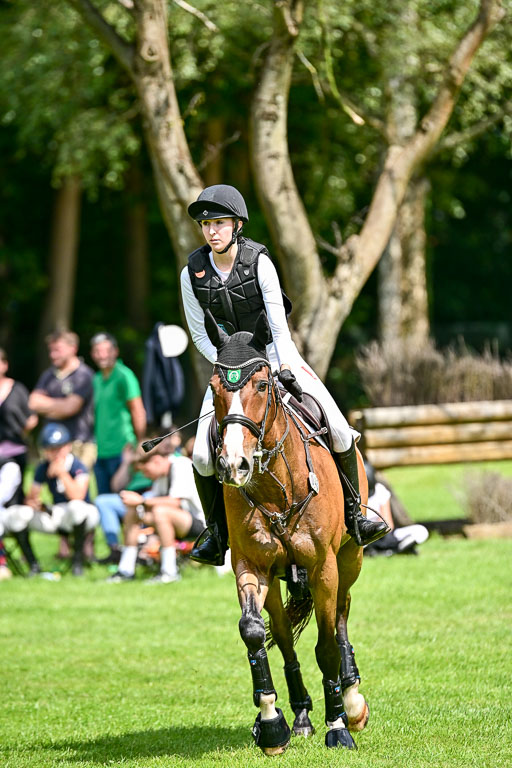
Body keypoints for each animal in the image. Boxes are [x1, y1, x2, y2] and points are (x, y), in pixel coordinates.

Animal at [204, 309, 370, 754]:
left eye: (262, 385)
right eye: (214, 388)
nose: (235, 464)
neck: (275, 487)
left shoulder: (323, 567)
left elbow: (326, 646)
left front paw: (338, 726)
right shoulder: (251, 566)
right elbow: (252, 632)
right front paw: (271, 721)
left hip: (349, 559)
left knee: (342, 615)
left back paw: (352, 699)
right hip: (279, 580)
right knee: (283, 637)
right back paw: (300, 715)